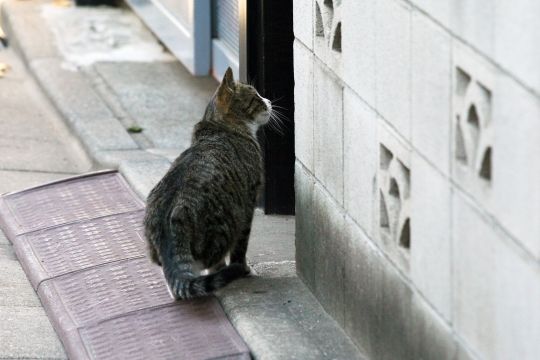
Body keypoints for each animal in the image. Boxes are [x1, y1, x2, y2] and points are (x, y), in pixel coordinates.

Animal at [142, 67, 270, 298]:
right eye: (255, 96)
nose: (268, 100)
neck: (219, 126)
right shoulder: (249, 202)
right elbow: (241, 247)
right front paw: (243, 268)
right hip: (226, 223)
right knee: (212, 261)